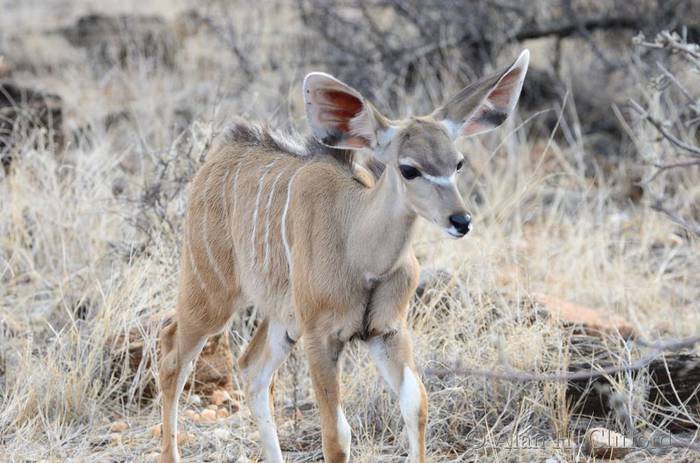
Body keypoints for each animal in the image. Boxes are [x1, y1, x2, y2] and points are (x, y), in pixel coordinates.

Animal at [159, 50, 528, 463]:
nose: (460, 220)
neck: (360, 250)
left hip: (283, 319)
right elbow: (337, 434)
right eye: (409, 169)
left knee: (251, 367)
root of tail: (219, 154)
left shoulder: (388, 330)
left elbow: (416, 403)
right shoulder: (321, 338)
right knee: (172, 353)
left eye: (458, 163)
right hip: (212, 293)